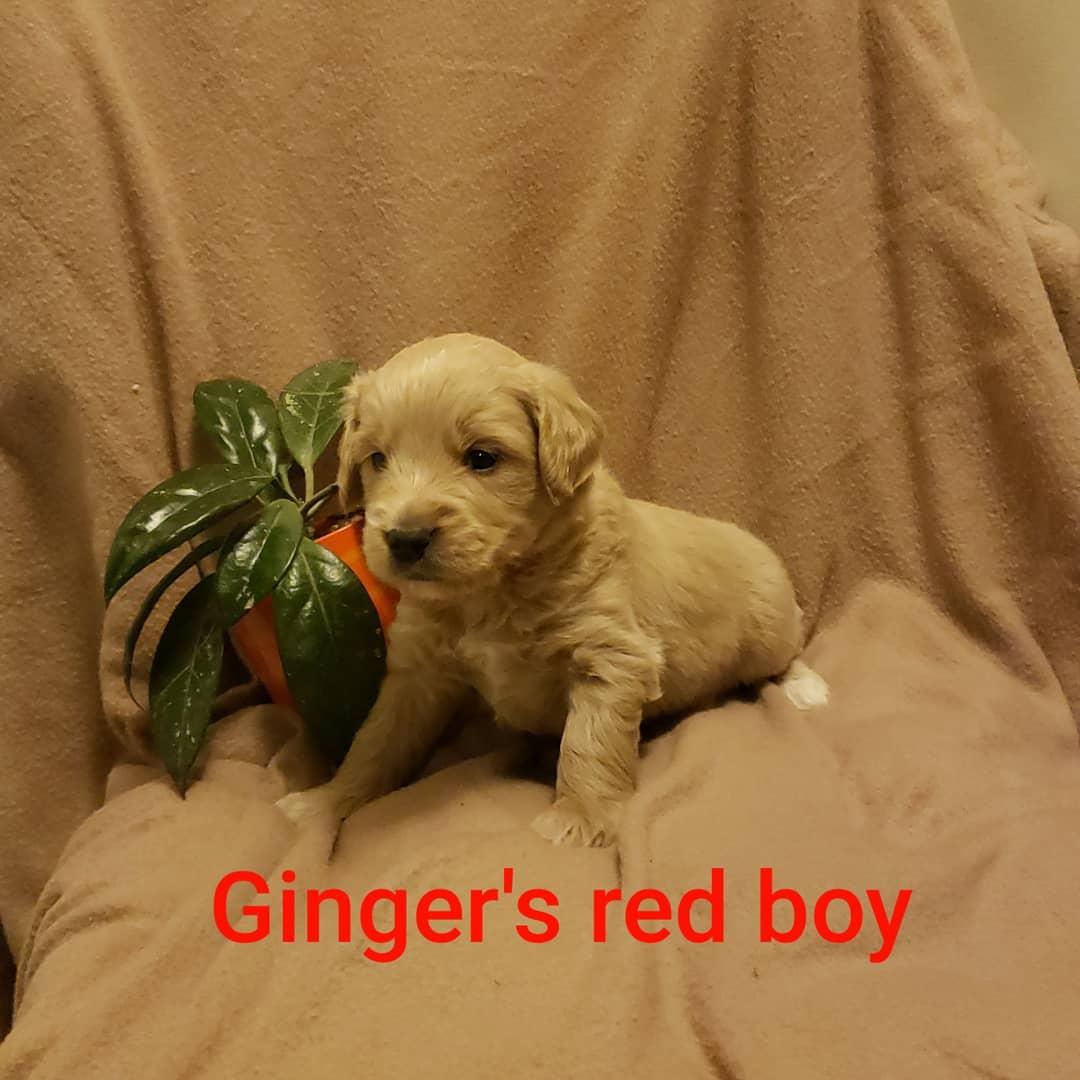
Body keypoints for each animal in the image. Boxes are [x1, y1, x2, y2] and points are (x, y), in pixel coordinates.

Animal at [277, 333, 828, 846]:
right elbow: (375, 742)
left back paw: (804, 686)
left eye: (482, 457)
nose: (405, 539)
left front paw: (579, 819)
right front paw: (325, 802)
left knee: (787, 651)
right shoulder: (417, 671)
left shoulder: (611, 657)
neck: (492, 588)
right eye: (377, 459)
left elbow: (590, 742)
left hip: (769, 624)